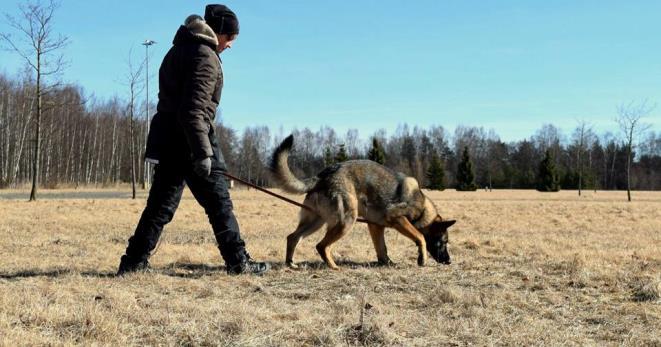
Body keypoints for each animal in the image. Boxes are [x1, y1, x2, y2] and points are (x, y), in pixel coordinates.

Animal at [268, 135, 454, 270]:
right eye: (443, 242)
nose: (449, 261)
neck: (422, 208)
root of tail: (323, 175)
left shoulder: (375, 226)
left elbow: (382, 248)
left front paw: (386, 262)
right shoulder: (397, 218)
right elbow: (421, 237)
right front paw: (422, 259)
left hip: (316, 222)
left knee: (292, 237)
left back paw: (291, 263)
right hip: (346, 221)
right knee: (321, 246)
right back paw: (333, 266)